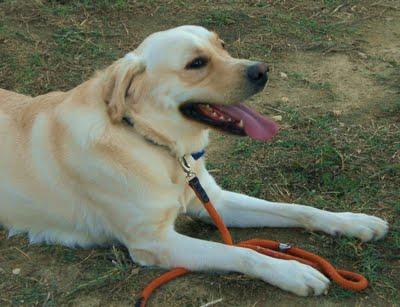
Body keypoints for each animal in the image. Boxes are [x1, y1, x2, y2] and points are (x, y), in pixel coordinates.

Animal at [0, 25, 388, 296]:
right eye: (196, 63)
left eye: (222, 45)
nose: (262, 69)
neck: (155, 145)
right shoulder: (155, 243)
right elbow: (241, 253)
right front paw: (292, 270)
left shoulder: (212, 200)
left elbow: (297, 209)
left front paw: (353, 222)